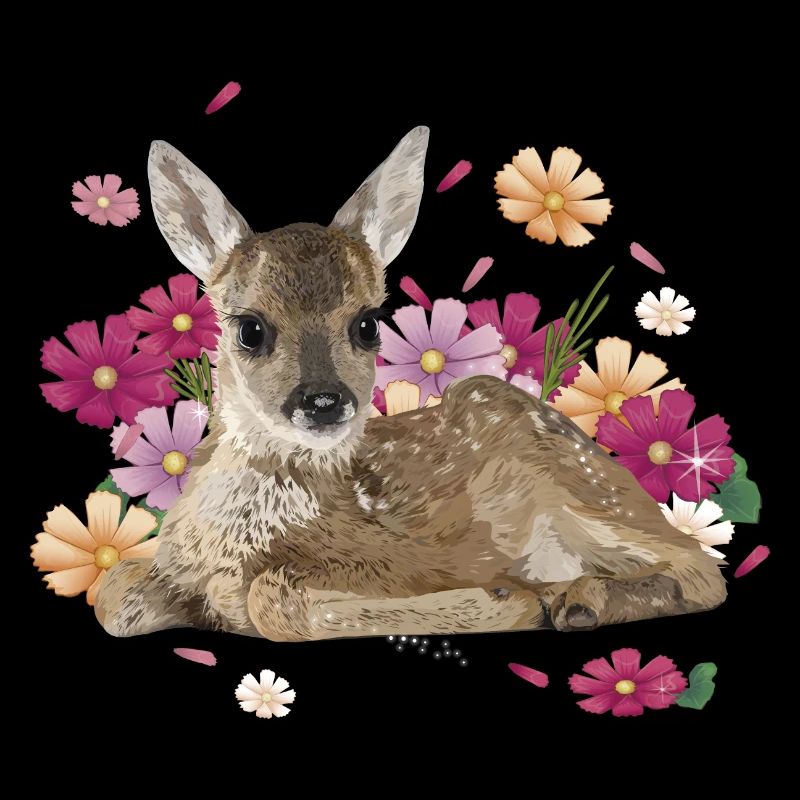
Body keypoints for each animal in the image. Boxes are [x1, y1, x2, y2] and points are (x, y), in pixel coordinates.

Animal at [95, 127, 727, 640]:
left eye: (368, 323)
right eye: (250, 328)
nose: (323, 401)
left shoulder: (407, 559)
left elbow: (272, 600)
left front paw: (509, 600)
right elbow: (113, 594)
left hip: (580, 483)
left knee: (701, 568)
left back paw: (575, 600)